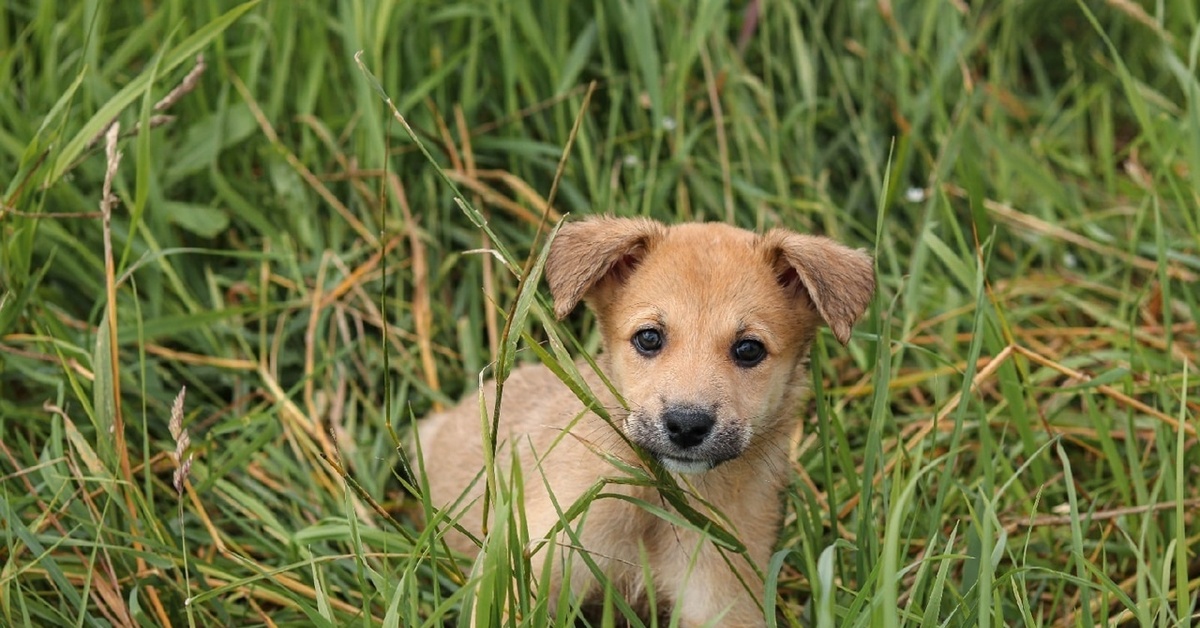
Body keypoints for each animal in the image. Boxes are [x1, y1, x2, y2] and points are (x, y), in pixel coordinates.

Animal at [412, 217, 873, 628]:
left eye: (748, 349)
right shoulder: (525, 573)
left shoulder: (724, 599)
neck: (658, 500)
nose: (686, 425)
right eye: (649, 338)